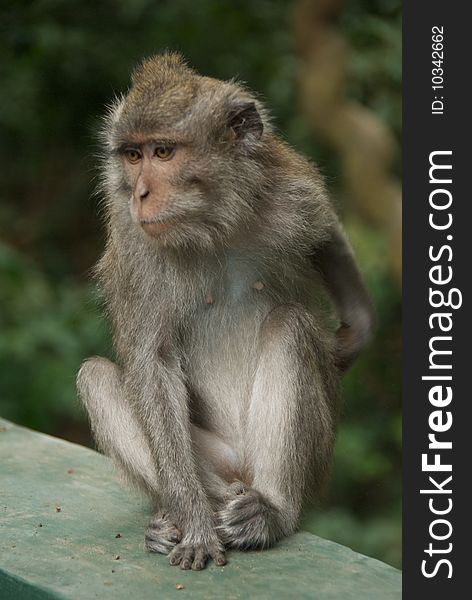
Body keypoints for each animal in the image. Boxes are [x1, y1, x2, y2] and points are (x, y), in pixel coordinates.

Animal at [76, 52, 372, 572]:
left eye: (163, 152)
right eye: (132, 155)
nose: (140, 193)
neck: (211, 224)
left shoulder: (287, 185)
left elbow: (326, 231)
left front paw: (358, 328)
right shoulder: (135, 242)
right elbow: (153, 364)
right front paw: (194, 521)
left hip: (311, 456)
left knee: (291, 325)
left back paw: (270, 512)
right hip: (215, 458)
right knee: (96, 376)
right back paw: (187, 514)